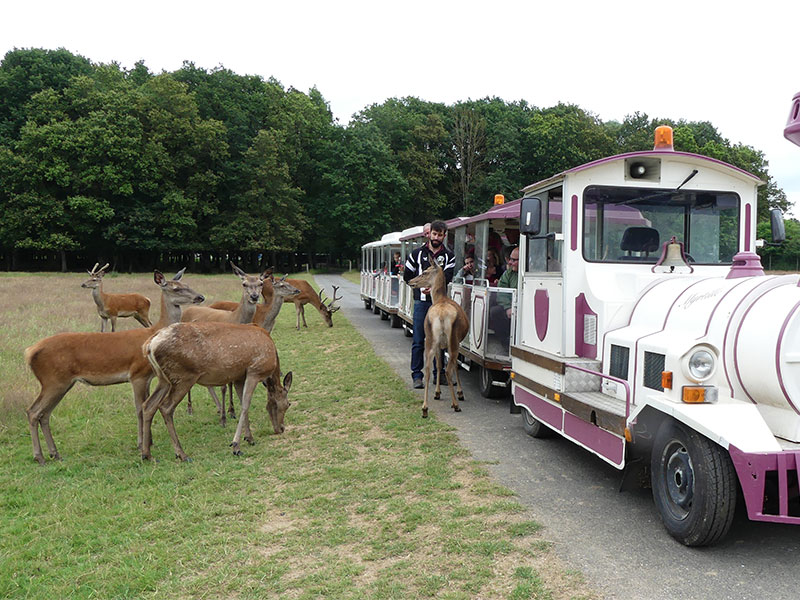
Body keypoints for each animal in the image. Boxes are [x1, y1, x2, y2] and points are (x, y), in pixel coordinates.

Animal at [25, 270, 206, 464]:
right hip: (53, 380)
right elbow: (139, 409)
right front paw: (141, 444)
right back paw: (39, 457)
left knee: (45, 414)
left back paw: (55, 453)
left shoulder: (148, 377)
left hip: (62, 383)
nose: (200, 297)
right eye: (176, 288)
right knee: (33, 411)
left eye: (187, 285)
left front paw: (150, 441)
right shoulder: (137, 374)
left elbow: (147, 406)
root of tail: (30, 351)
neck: (152, 333)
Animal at [143, 322, 294, 462]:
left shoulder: (239, 377)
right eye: (288, 404)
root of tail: (149, 345)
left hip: (163, 379)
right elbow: (245, 406)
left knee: (148, 405)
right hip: (183, 377)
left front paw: (249, 438)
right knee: (165, 407)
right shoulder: (254, 371)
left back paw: (147, 455)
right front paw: (236, 445)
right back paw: (182, 454)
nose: (281, 428)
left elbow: (242, 404)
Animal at [410, 258, 472, 418]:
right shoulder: (457, 343)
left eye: (425, 272)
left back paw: (425, 408)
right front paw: (460, 393)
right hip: (453, 340)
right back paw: (456, 404)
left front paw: (437, 392)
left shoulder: (439, 345)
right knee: (450, 369)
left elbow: (438, 365)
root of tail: (442, 315)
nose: (410, 281)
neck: (440, 298)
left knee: (427, 369)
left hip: (430, 339)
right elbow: (453, 366)